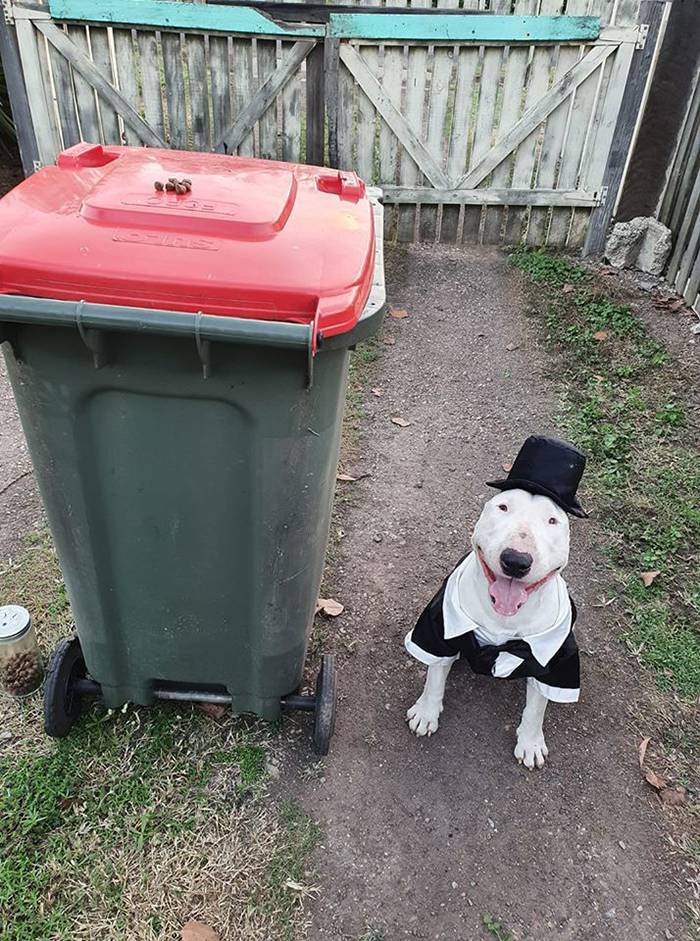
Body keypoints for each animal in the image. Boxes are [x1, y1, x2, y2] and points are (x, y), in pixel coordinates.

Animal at [404, 436, 584, 768]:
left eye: (553, 520)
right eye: (503, 507)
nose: (516, 561)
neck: (504, 616)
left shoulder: (555, 660)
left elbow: (537, 706)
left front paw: (530, 742)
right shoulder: (439, 629)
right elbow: (434, 676)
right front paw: (426, 712)